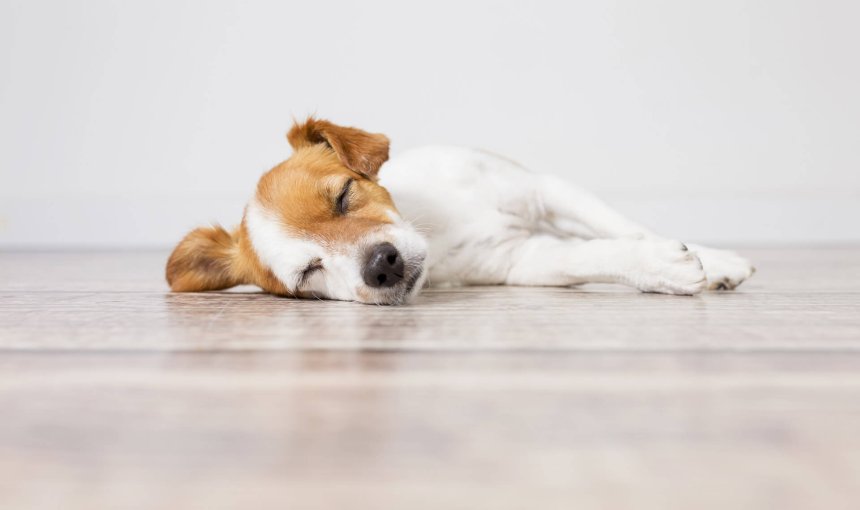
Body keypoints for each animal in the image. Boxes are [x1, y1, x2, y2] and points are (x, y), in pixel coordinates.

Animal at [166, 117, 752, 304]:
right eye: (309, 272)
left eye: (343, 195)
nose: (381, 265)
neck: (436, 223)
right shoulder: (522, 260)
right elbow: (595, 253)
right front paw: (660, 267)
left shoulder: (546, 189)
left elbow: (628, 226)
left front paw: (718, 261)